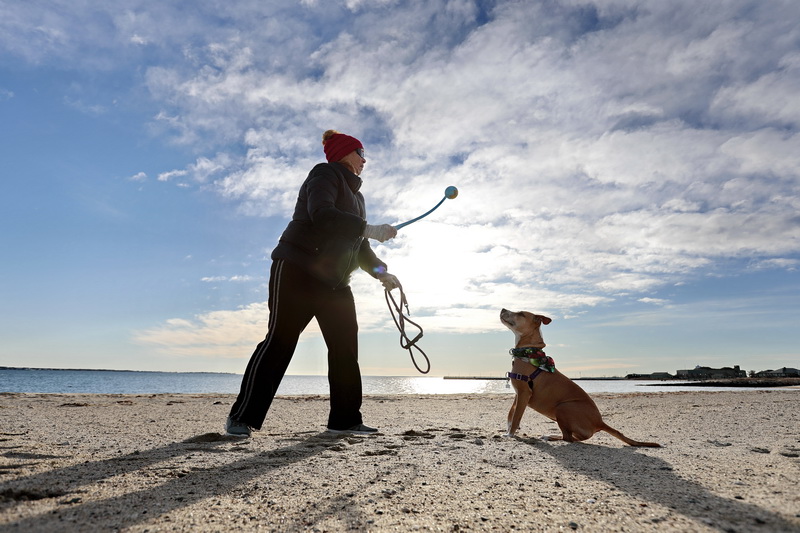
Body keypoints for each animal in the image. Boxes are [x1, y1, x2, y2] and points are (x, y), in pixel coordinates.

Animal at [500, 308, 664, 444]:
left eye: (521, 313)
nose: (502, 309)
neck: (528, 352)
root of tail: (599, 422)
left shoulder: (524, 392)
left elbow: (516, 417)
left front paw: (510, 435)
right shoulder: (519, 395)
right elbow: (511, 415)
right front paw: (507, 432)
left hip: (563, 407)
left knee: (569, 438)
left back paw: (551, 436)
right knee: (576, 438)